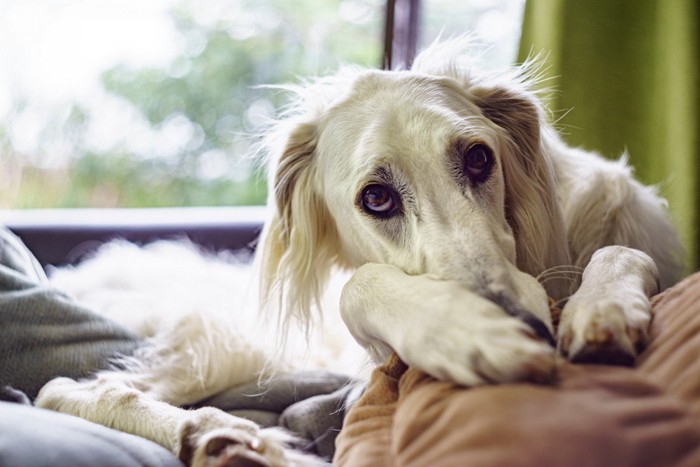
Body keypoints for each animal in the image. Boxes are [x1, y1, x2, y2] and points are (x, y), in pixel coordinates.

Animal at [34, 38, 684, 466]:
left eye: (479, 158)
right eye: (376, 197)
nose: (523, 323)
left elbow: (623, 252)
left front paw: (603, 309)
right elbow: (358, 288)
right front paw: (467, 332)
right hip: (225, 340)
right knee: (67, 390)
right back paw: (222, 437)